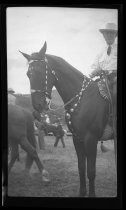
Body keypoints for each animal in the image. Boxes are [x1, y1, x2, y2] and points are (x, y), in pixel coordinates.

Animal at [19, 41, 117, 197]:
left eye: (41, 71)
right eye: (28, 74)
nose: (38, 105)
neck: (81, 99)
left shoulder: (91, 140)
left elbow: (91, 171)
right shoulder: (77, 139)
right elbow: (81, 168)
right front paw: (82, 193)